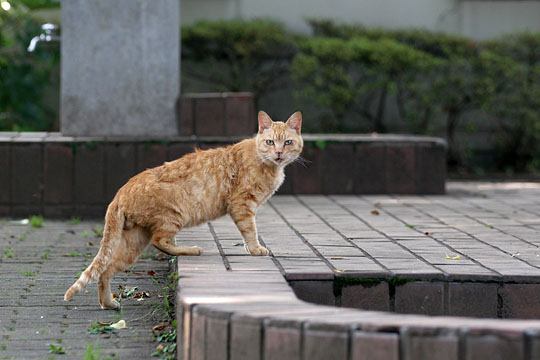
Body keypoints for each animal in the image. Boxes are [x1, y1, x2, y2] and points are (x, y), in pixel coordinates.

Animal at [63, 110, 304, 310]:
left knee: (106, 270)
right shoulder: (242, 205)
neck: (267, 163)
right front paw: (255, 249)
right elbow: (250, 230)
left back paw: (109, 303)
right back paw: (191, 249)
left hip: (134, 243)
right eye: (270, 142)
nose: (279, 153)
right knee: (159, 242)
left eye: (288, 142)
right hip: (173, 217)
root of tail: (120, 193)